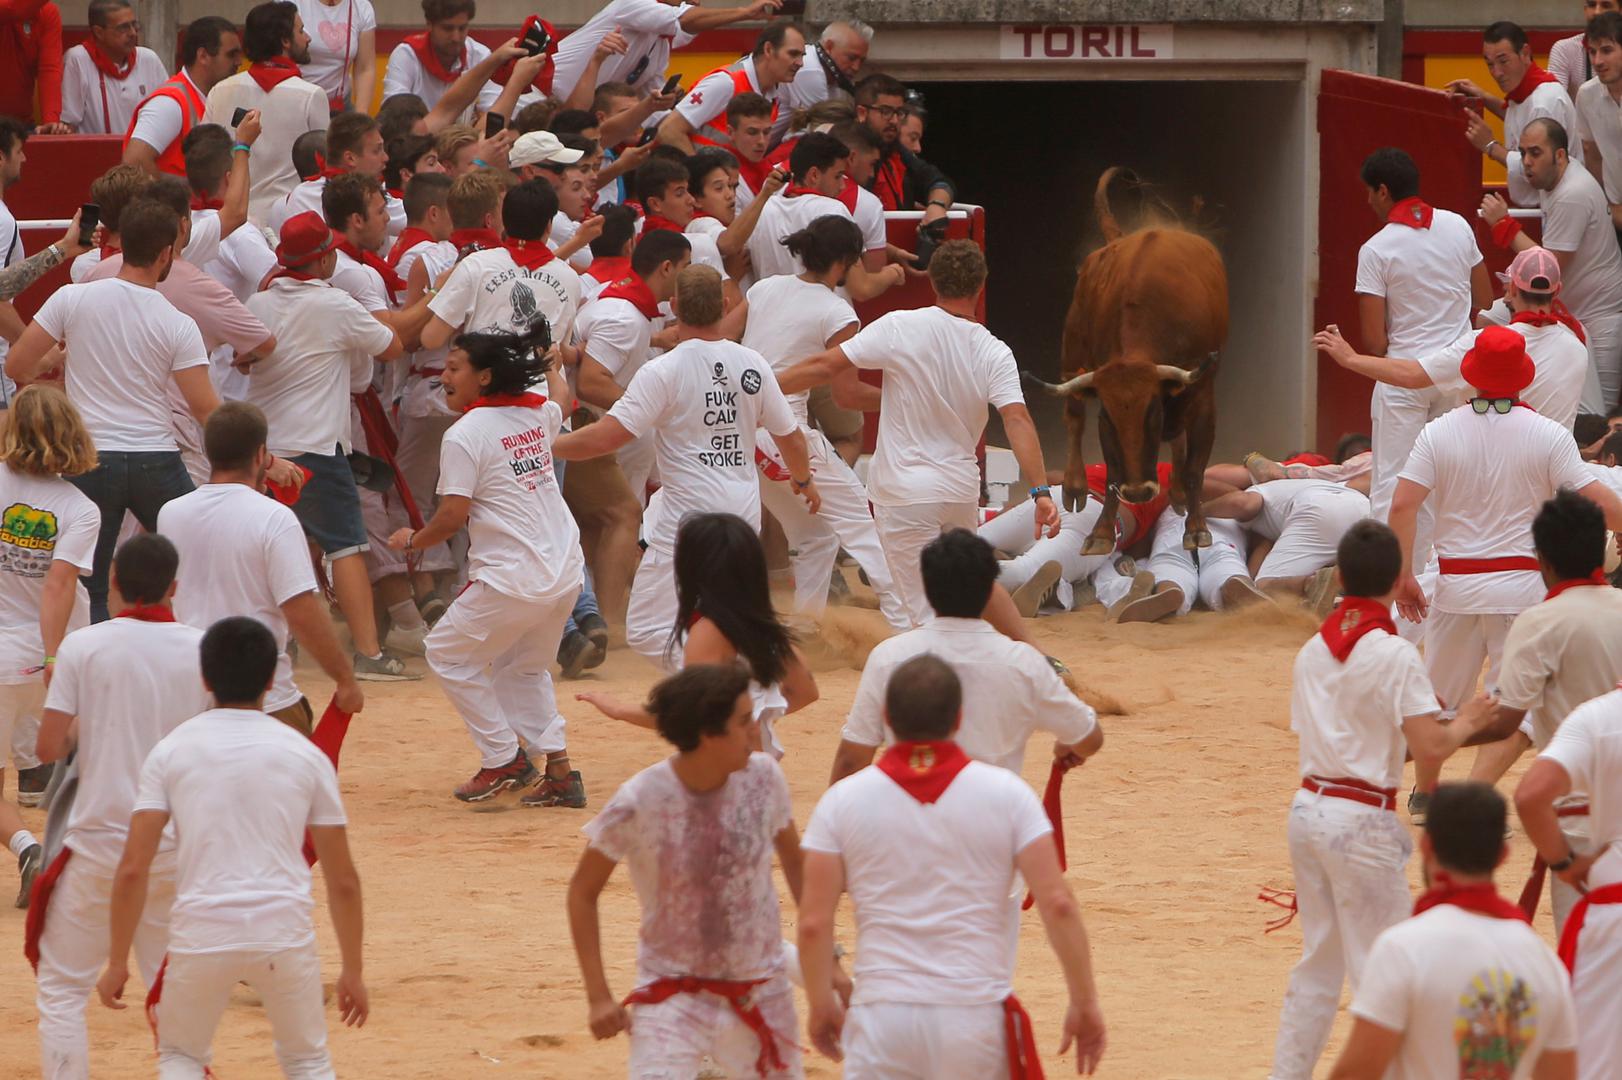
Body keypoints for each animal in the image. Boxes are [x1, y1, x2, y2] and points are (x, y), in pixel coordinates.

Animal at [1025, 170, 1226, 554]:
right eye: (1109, 417)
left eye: (1152, 412)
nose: (1139, 492)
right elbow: (1112, 471)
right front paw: (1102, 532)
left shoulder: (1203, 392)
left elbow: (1196, 468)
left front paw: (1196, 527)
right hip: (1072, 344)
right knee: (1074, 416)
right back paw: (1074, 486)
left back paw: (1178, 492)